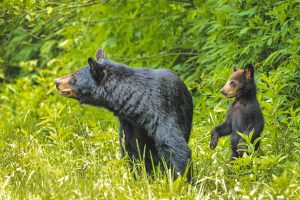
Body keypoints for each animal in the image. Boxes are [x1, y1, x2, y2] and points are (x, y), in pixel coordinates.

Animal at [54, 48, 193, 180]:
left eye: (75, 75)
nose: (56, 81)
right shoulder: (129, 123)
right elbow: (132, 150)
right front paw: (140, 177)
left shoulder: (161, 110)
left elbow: (174, 146)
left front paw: (179, 181)